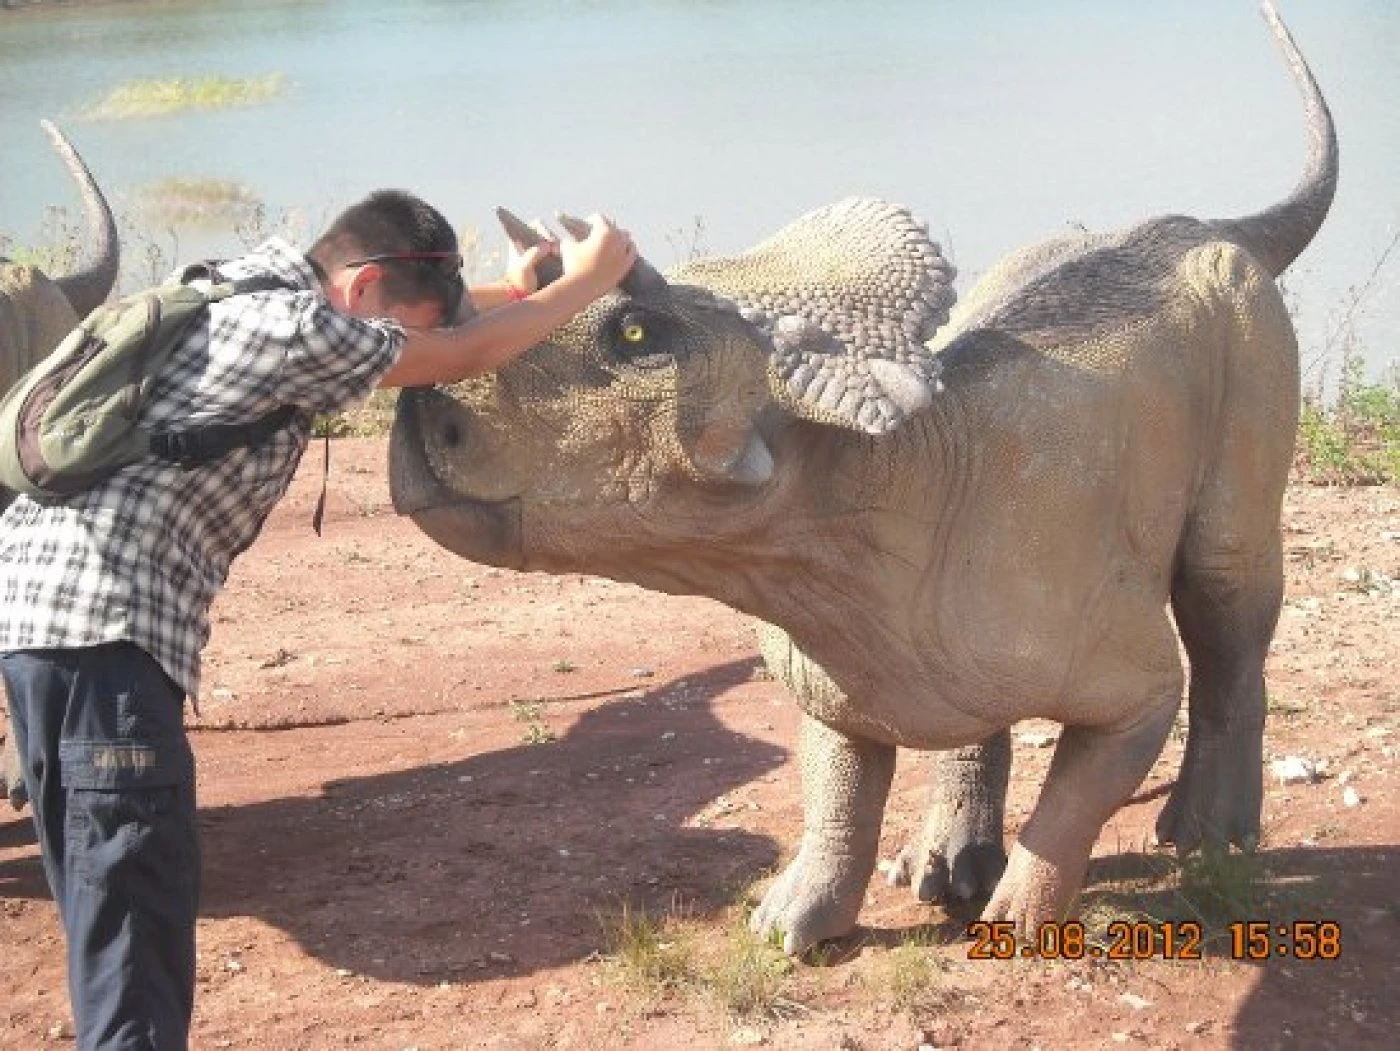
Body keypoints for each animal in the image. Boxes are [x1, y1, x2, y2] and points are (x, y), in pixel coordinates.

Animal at [388, 0, 1334, 951]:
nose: (421, 409)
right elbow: (839, 787)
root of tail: (1197, 226)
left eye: (636, 335)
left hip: (1252, 339)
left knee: (1229, 590)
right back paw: (946, 863)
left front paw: (1025, 919)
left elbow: (1093, 775)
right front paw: (791, 918)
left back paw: (1211, 833)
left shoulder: (1121, 666)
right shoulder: (830, 663)